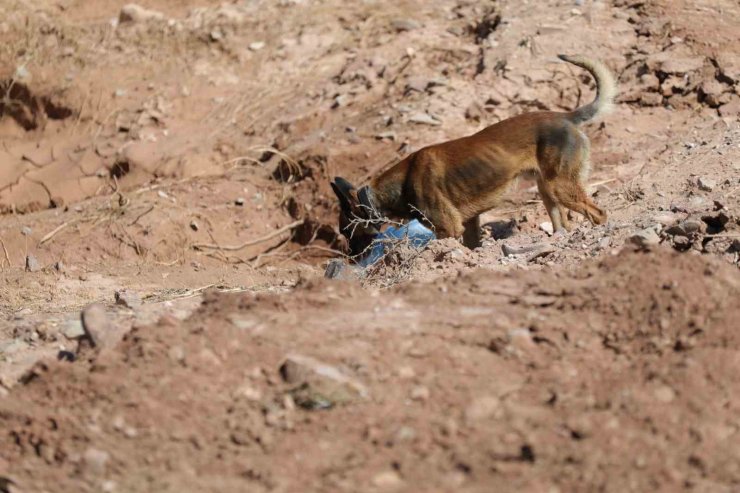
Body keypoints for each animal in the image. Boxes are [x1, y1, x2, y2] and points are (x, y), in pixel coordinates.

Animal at [332, 54, 616, 256]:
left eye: (346, 230)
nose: (351, 258)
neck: (398, 185)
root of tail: (567, 116)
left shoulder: (448, 228)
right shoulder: (468, 224)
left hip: (561, 187)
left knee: (598, 213)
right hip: (548, 190)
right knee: (562, 224)